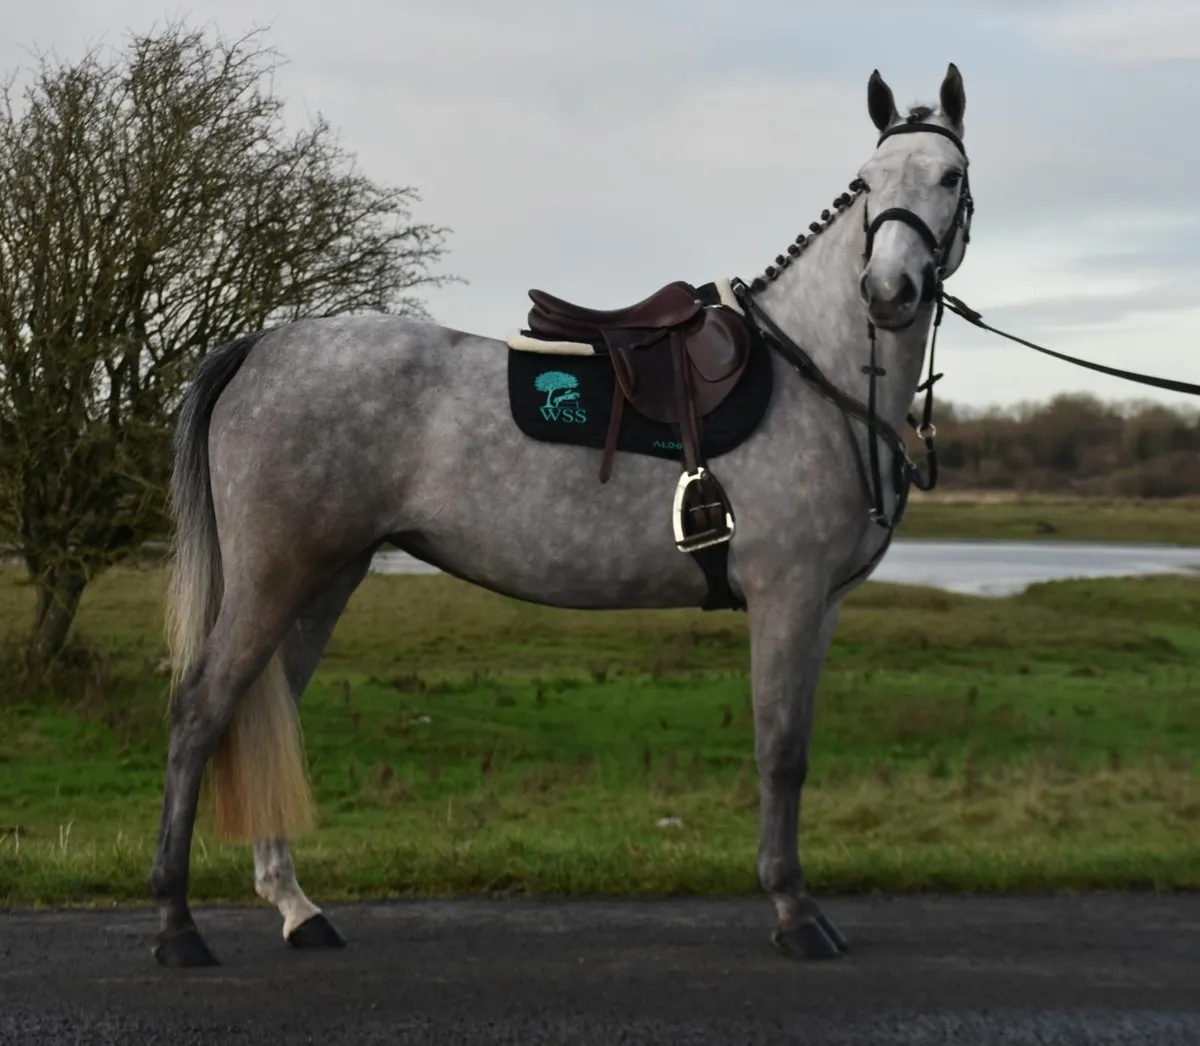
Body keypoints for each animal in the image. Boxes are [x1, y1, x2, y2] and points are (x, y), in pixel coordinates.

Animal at [148, 63, 974, 966]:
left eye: (949, 177)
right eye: (867, 183)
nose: (888, 293)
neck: (814, 374)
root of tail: (261, 347)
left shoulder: (820, 607)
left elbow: (795, 751)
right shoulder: (785, 597)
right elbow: (780, 752)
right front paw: (794, 911)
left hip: (323, 579)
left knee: (268, 718)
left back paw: (297, 908)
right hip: (274, 578)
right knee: (200, 714)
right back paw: (177, 925)